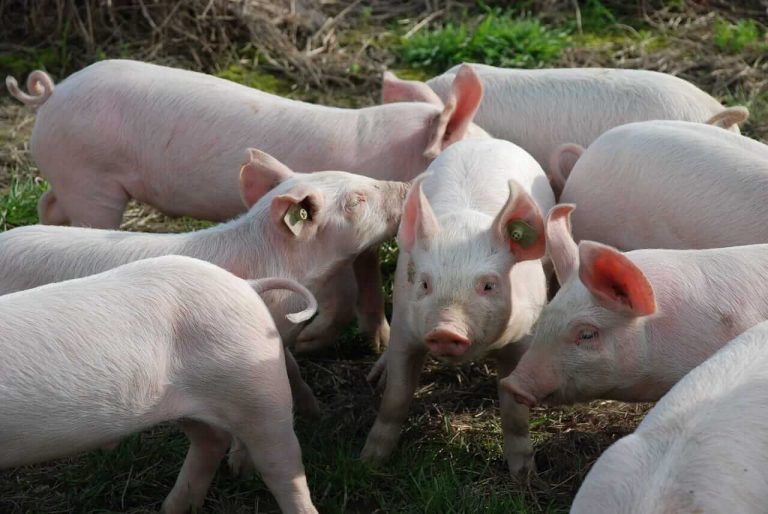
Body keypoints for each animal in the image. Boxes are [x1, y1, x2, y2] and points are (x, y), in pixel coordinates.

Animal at [0, 254, 318, 514]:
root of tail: (246, 285)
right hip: (194, 405)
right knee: (212, 440)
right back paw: (172, 509)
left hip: (257, 390)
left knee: (283, 464)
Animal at [361, 138, 555, 473]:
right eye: (425, 283)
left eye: (488, 285)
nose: (445, 330)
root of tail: (486, 140)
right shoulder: (404, 327)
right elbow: (395, 397)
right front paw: (368, 461)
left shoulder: (522, 338)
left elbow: (514, 413)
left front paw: (525, 475)